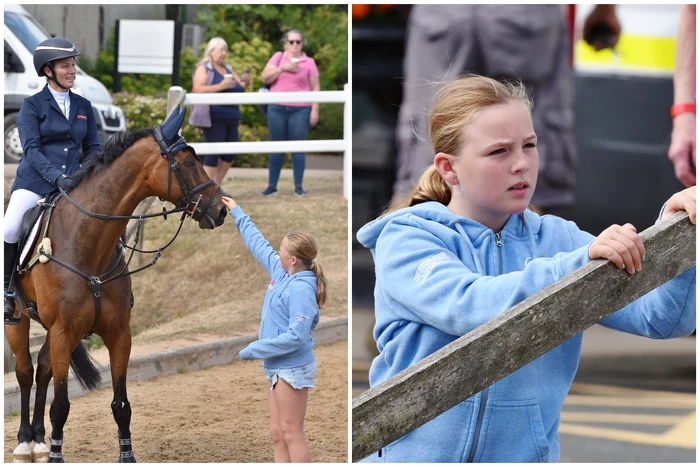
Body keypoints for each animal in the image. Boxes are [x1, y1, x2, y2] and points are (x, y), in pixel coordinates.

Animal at [5, 106, 227, 463]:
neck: (88, 245)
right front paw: (56, 456)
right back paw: (26, 442)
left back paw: (38, 439)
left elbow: (121, 405)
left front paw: (127, 456)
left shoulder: (118, 333)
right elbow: (61, 406)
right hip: (20, 320)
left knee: (42, 371)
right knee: (25, 372)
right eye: (187, 162)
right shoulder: (64, 331)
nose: (220, 210)